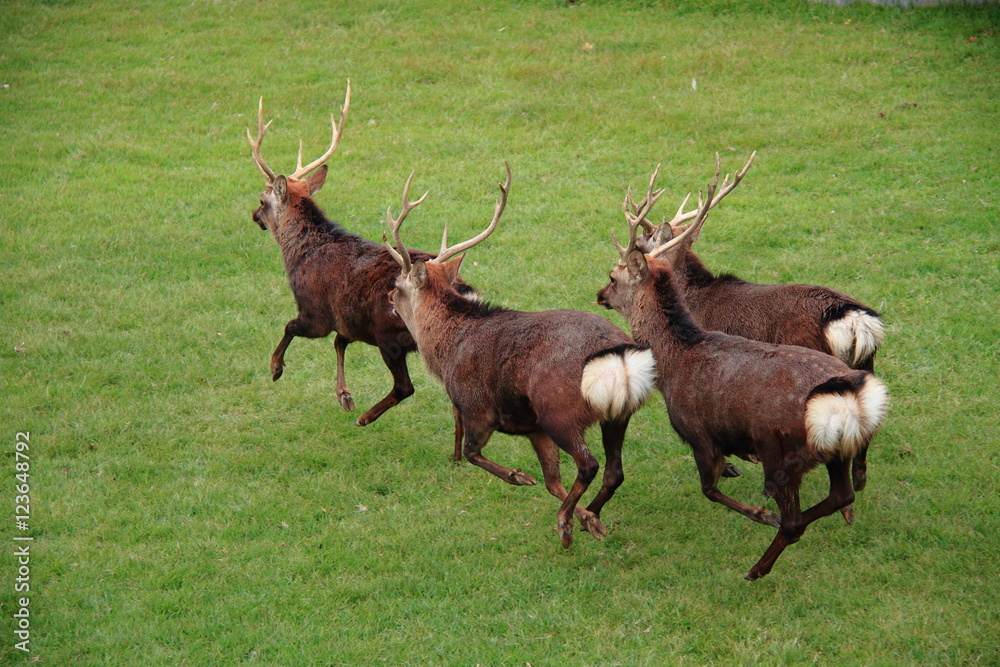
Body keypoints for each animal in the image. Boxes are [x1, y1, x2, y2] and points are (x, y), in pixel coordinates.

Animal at [246, 81, 477, 454]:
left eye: (262, 199)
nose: (254, 216)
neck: (299, 256)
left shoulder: (316, 313)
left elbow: (291, 327)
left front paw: (275, 368)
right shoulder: (348, 319)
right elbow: (340, 343)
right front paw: (344, 395)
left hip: (391, 335)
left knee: (405, 387)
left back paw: (367, 418)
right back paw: (457, 453)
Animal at [383, 164, 657, 548]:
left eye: (397, 285)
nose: (387, 298)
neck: (447, 349)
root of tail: (620, 359)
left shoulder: (477, 407)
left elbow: (472, 454)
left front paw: (519, 477)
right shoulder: (534, 428)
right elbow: (552, 481)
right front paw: (587, 518)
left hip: (559, 410)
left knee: (589, 464)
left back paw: (564, 523)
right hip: (617, 415)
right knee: (614, 471)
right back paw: (590, 517)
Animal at [596, 171, 889, 580]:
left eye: (617, 270)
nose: (599, 294)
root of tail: (857, 319)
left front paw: (738, 473)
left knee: (799, 510)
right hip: (863, 374)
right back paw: (853, 491)